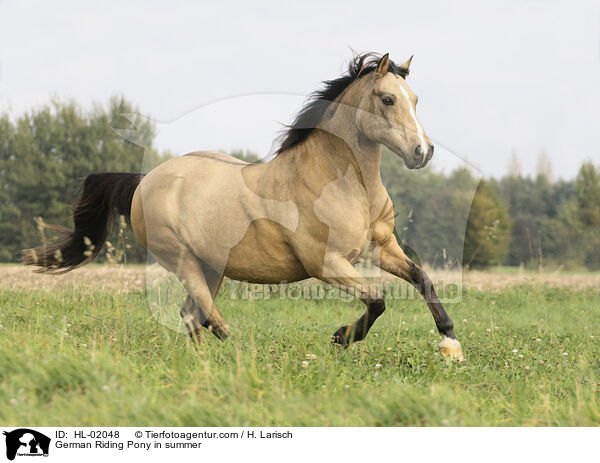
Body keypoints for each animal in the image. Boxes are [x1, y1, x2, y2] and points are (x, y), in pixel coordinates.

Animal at [23, 51, 464, 362]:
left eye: (415, 99)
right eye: (387, 99)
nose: (422, 152)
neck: (345, 184)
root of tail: (143, 181)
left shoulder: (382, 248)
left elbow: (422, 278)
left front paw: (451, 342)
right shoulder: (326, 263)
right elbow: (377, 299)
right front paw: (341, 338)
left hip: (211, 265)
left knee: (192, 314)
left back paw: (205, 362)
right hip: (183, 260)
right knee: (205, 313)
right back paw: (240, 352)